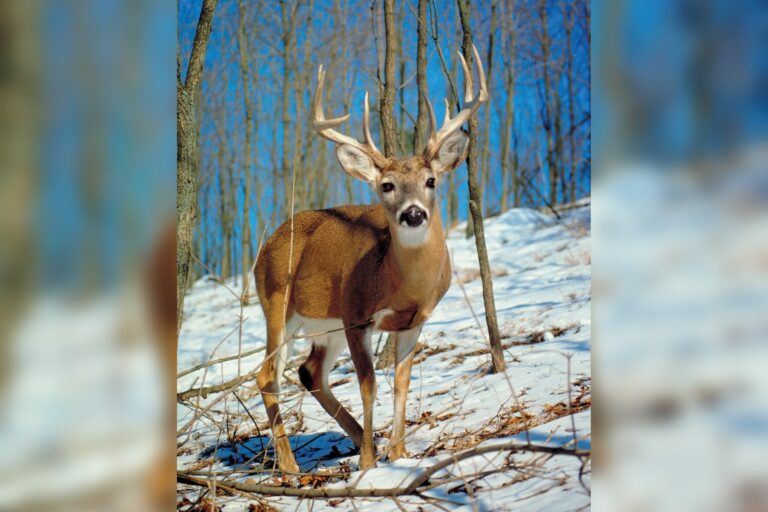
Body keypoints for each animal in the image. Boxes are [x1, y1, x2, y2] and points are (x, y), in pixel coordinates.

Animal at [254, 45, 487, 472]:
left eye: (431, 180)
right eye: (387, 186)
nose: (413, 214)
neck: (399, 284)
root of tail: (266, 245)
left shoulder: (415, 320)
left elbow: (400, 381)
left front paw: (398, 453)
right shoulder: (356, 315)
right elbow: (369, 383)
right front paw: (367, 464)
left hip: (325, 325)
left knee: (310, 372)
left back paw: (362, 438)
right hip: (277, 302)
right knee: (268, 374)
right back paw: (291, 465)